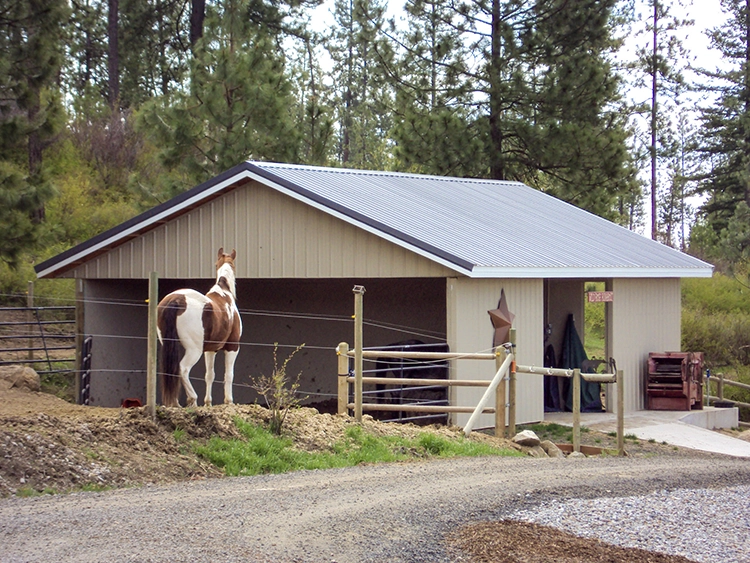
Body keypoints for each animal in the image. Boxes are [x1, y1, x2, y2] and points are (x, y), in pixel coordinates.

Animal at [156, 248, 242, 407]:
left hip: (169, 345)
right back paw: (192, 399)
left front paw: (208, 402)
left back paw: (175, 403)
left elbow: (209, 375)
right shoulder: (232, 346)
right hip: (194, 350)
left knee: (172, 369)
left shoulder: (210, 350)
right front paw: (229, 401)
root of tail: (176, 300)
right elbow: (229, 374)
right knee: (183, 369)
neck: (224, 293)